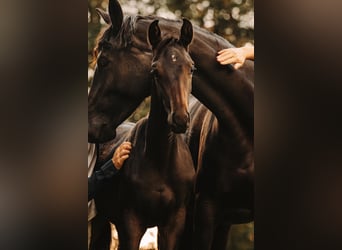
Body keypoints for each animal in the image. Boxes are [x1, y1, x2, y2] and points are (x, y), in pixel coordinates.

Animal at [94, 19, 195, 250]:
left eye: (192, 68)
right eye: (155, 71)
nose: (180, 119)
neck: (160, 159)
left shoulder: (173, 225)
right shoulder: (130, 224)